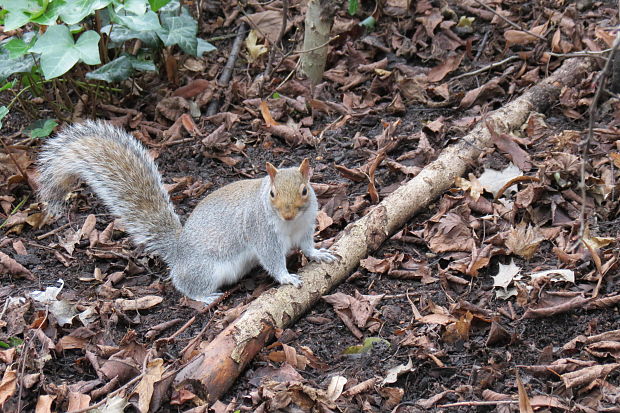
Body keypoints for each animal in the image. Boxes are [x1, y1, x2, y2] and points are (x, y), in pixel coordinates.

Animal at [36, 120, 336, 300]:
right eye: (272, 194)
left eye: (305, 191)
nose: (287, 213)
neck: (291, 224)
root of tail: (178, 250)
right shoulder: (261, 231)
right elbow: (272, 259)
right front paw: (287, 278)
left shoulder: (305, 226)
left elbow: (307, 246)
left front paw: (319, 254)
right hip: (204, 269)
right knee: (185, 286)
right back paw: (206, 296)